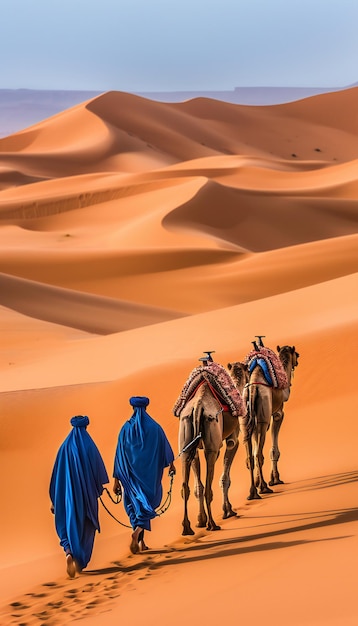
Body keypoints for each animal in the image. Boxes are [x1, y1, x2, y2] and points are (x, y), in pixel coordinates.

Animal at [177, 358, 249, 532]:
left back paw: (187, 528)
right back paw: (212, 524)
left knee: (186, 487)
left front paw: (200, 520)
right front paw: (228, 510)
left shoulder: (195, 450)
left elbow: (198, 486)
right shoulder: (232, 441)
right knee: (209, 487)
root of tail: (198, 407)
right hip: (211, 446)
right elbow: (225, 478)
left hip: (185, 441)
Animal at [243, 344, 300, 494]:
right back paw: (264, 488)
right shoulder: (278, 413)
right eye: (297, 354)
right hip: (263, 419)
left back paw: (253, 491)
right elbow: (273, 450)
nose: (297, 361)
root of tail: (253, 389)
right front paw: (275, 479)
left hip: (246, 419)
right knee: (258, 454)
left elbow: (255, 450)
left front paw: (258, 481)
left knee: (251, 456)